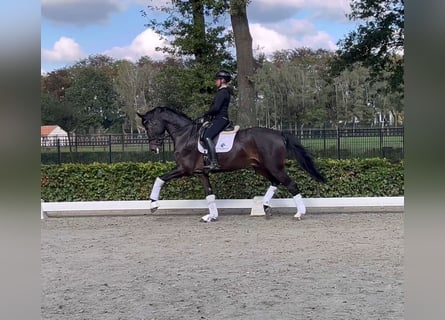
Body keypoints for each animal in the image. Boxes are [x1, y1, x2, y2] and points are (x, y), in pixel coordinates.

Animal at [138, 106, 326, 221]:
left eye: (150, 125)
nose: (153, 148)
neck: (185, 135)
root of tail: (279, 134)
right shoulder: (201, 173)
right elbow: (209, 194)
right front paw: (212, 217)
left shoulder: (184, 169)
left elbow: (159, 178)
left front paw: (153, 204)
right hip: (261, 167)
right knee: (275, 182)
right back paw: (265, 206)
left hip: (274, 167)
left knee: (291, 184)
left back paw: (299, 213)